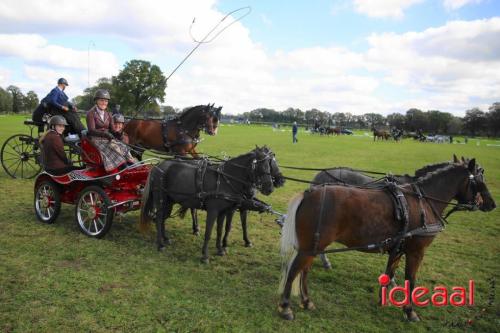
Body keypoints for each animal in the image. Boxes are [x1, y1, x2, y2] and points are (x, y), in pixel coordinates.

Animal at [140, 145, 282, 262]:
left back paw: (165, 238)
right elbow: (209, 232)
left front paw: (220, 249)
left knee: (162, 218)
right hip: (161, 198)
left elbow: (220, 230)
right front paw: (205, 255)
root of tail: (158, 166)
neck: (226, 179)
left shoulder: (224, 211)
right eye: (262, 166)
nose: (270, 188)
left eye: (270, 164)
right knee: (159, 218)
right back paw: (160, 244)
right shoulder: (213, 210)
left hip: (169, 201)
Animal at [278, 158, 496, 320]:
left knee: (304, 271)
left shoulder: (398, 248)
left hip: (314, 245)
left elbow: (390, 270)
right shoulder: (416, 251)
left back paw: (306, 301)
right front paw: (409, 311)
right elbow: (411, 279)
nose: (492, 204)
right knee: (294, 270)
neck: (423, 201)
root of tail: (310, 193)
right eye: (479, 179)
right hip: (310, 246)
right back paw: (286, 307)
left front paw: (385, 298)